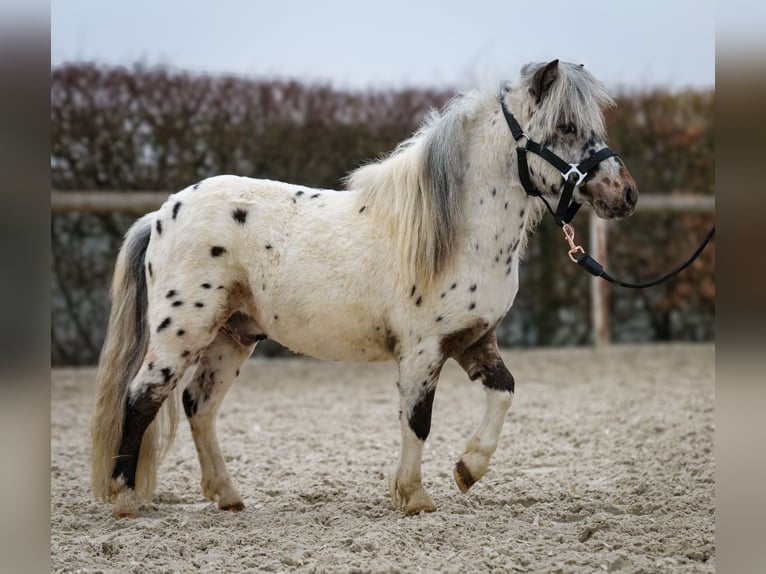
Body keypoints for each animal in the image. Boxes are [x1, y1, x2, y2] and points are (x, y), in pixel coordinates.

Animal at [93, 60, 640, 520]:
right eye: (565, 126)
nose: (626, 194)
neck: (455, 234)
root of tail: (161, 215)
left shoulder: (473, 340)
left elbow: (504, 392)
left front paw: (468, 469)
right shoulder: (423, 351)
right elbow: (417, 419)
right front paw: (414, 496)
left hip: (234, 335)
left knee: (197, 404)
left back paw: (227, 496)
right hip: (182, 333)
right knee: (141, 398)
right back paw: (125, 499)